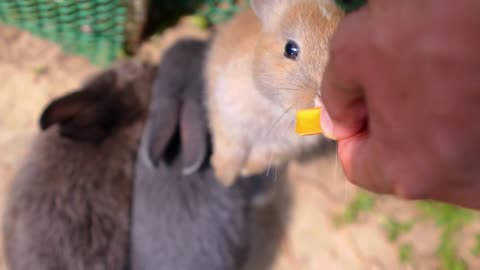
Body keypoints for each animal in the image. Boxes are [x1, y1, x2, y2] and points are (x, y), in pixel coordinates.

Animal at [204, 0, 344, 186]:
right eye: (290, 49)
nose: (325, 98)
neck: (276, 108)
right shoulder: (229, 121)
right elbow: (230, 151)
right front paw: (225, 178)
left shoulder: (278, 146)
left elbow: (260, 157)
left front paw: (246, 171)